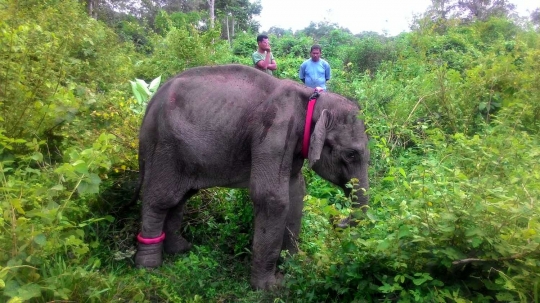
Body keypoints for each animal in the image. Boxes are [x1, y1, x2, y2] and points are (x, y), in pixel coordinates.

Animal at [132, 64, 370, 292]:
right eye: (351, 154)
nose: (340, 222)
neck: (312, 98)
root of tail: (150, 101)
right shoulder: (275, 131)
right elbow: (271, 198)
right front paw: (269, 287)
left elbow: (296, 191)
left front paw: (293, 267)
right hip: (164, 146)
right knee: (160, 199)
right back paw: (149, 265)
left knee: (179, 198)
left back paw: (180, 249)